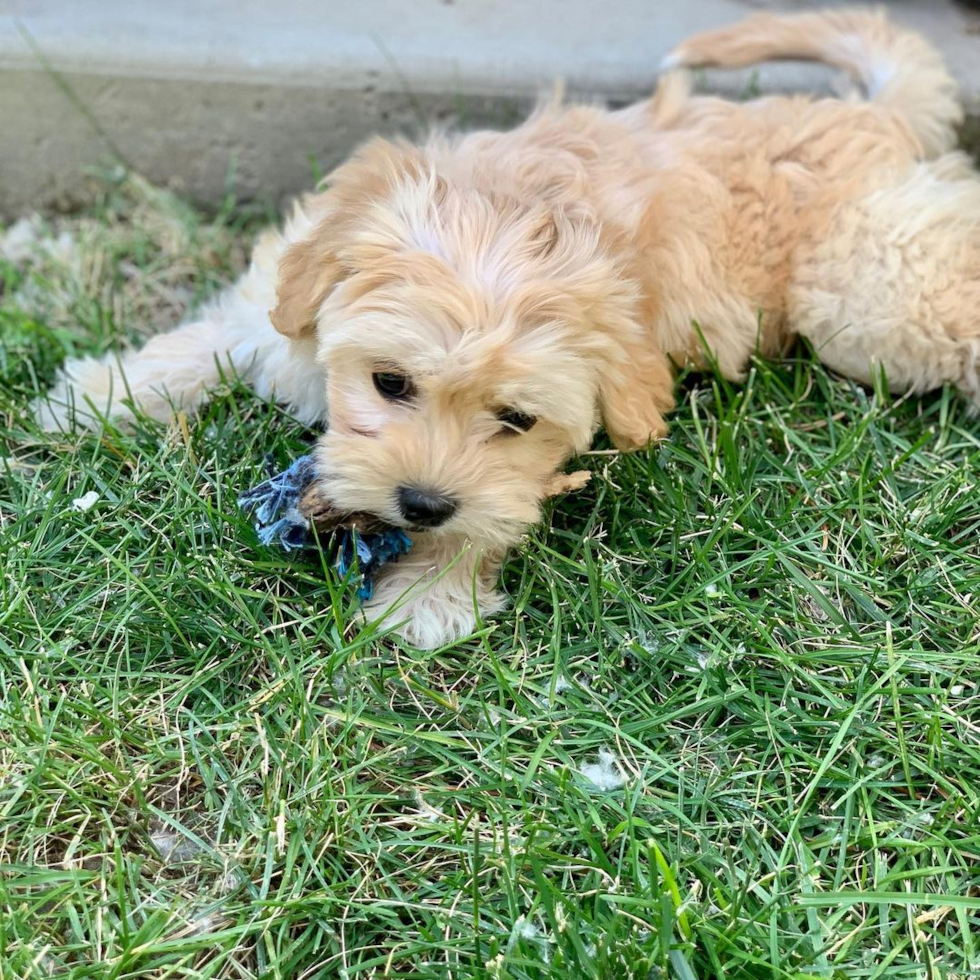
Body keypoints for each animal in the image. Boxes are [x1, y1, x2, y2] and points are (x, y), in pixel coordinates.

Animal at [38, 9, 980, 652]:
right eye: (389, 382)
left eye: (516, 420)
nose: (420, 503)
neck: (514, 216)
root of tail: (873, 116)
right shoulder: (288, 290)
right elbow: (209, 339)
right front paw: (94, 397)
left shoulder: (525, 462)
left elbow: (490, 510)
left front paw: (427, 599)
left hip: (870, 294)